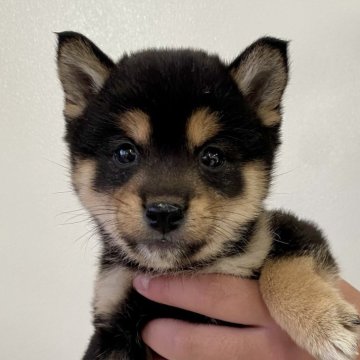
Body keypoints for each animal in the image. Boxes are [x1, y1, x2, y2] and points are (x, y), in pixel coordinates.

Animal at [57, 32, 360, 358]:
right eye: (125, 153)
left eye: (212, 157)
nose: (164, 212)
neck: (183, 270)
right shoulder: (112, 317)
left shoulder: (289, 229)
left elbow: (284, 264)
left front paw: (325, 323)